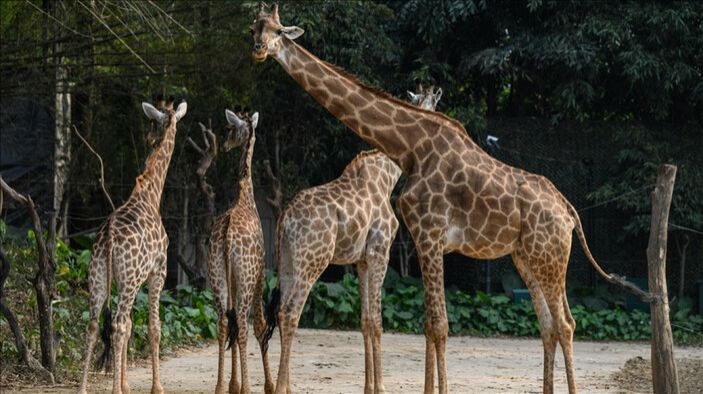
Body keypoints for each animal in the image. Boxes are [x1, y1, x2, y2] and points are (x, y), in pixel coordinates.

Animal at [78, 99, 187, 394]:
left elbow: (130, 326)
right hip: (128, 279)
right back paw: (113, 389)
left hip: (99, 276)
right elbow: (153, 326)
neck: (151, 193)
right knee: (116, 324)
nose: (150, 139)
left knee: (94, 325)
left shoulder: (131, 278)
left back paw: (83, 388)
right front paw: (156, 387)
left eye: (153, 123)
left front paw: (126, 384)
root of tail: (108, 237)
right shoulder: (158, 271)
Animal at [262, 81, 440, 394]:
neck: (387, 176)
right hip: (312, 262)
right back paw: (282, 387)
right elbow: (377, 320)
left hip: (287, 263)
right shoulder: (380, 251)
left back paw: (287, 385)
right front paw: (380, 387)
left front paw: (368, 386)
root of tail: (284, 220)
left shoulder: (361, 260)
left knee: (281, 311)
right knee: (290, 313)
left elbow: (365, 321)